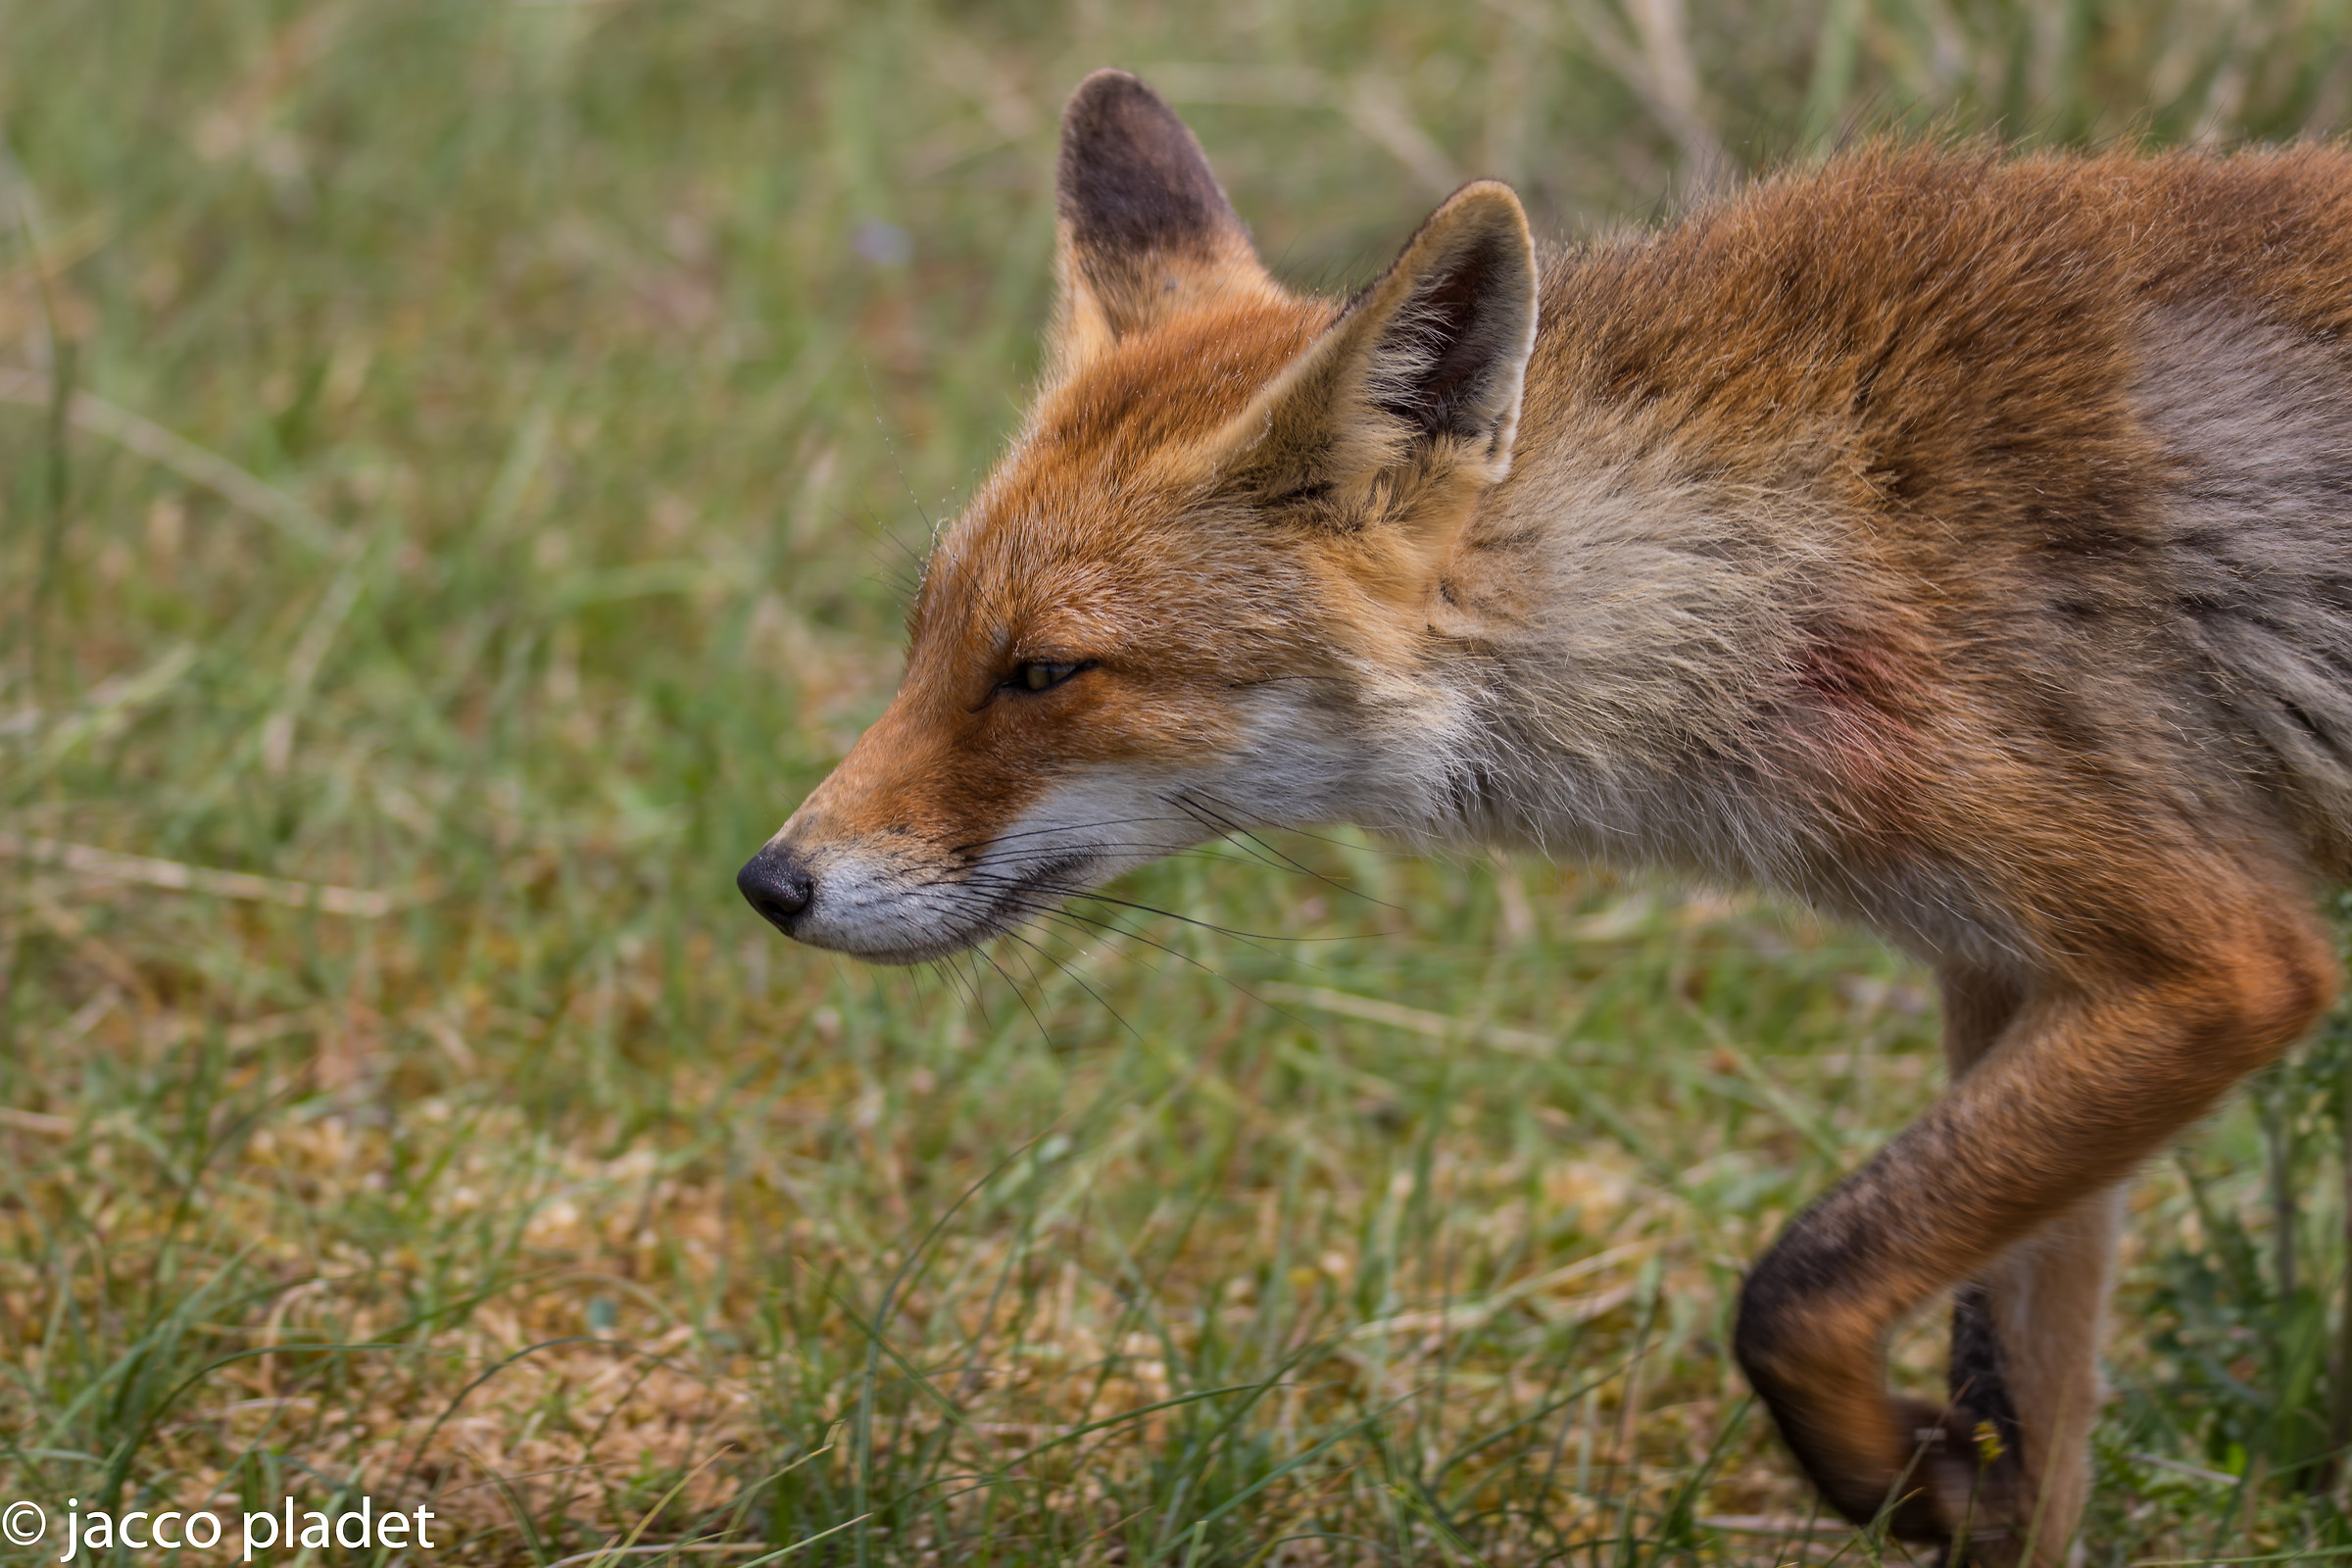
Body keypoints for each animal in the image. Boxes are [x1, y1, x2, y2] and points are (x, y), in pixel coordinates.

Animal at [738, 67, 2352, 1563]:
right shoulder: (2016, 971)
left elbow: (1795, 1289)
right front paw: (1966, 1482)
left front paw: (1896, 1471)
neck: (1794, 551)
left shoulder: (2214, 962)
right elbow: (2025, 1421)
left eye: (1043, 672)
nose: (770, 883)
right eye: (923, 642)